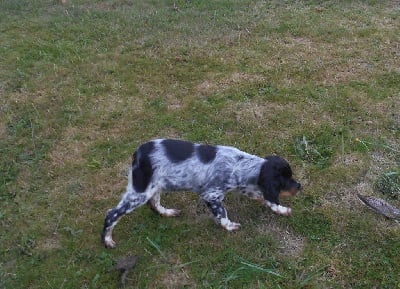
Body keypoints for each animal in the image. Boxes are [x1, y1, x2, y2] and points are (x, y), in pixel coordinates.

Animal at [101, 139, 302, 248]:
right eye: (285, 180)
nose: (299, 186)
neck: (239, 164)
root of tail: (137, 153)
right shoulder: (211, 195)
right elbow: (222, 214)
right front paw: (230, 226)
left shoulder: (245, 186)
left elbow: (268, 200)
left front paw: (282, 210)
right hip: (140, 191)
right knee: (112, 214)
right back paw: (107, 240)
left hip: (156, 185)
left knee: (154, 203)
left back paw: (167, 212)